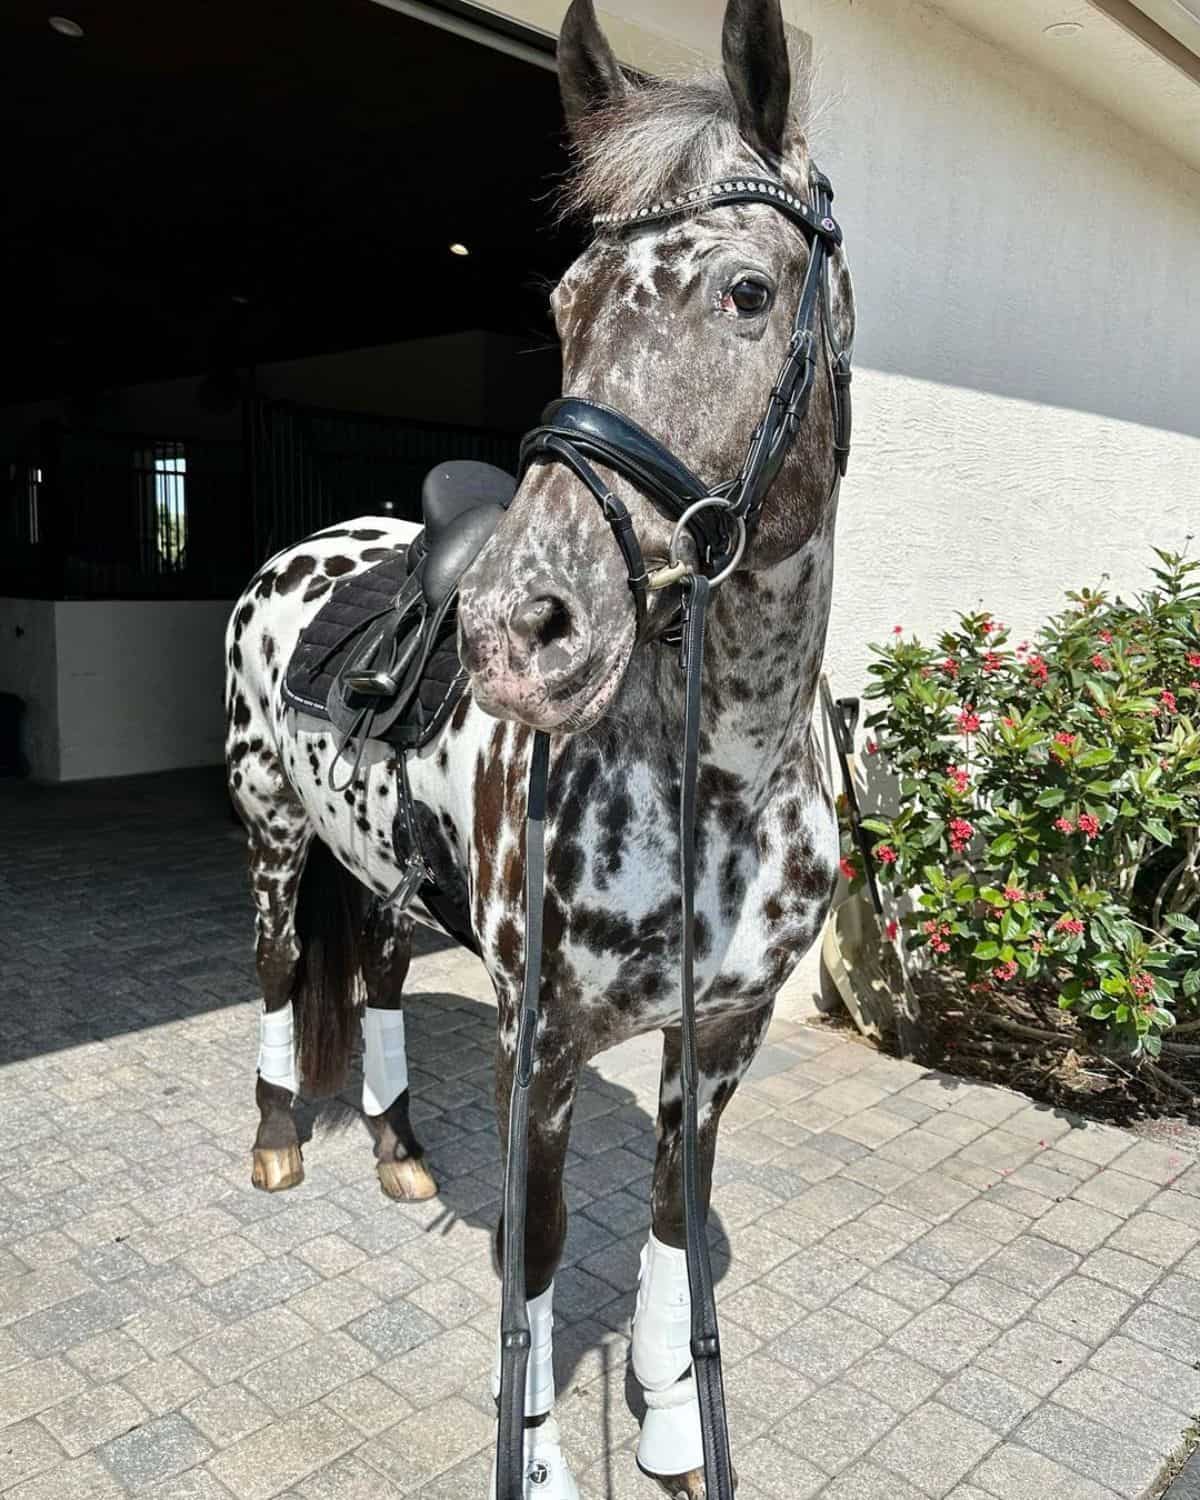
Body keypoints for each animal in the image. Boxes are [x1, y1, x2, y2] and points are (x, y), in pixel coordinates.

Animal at [228, 2, 852, 1488]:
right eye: (565, 304)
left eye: (749, 293)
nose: (521, 630)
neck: (719, 780)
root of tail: (304, 553)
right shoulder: (544, 1045)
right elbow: (540, 1254)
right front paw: (544, 1463)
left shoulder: (724, 1034)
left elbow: (674, 1225)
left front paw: (675, 1426)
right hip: (270, 825)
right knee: (280, 968)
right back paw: (281, 1145)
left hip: (383, 872)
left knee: (377, 980)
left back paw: (397, 1150)